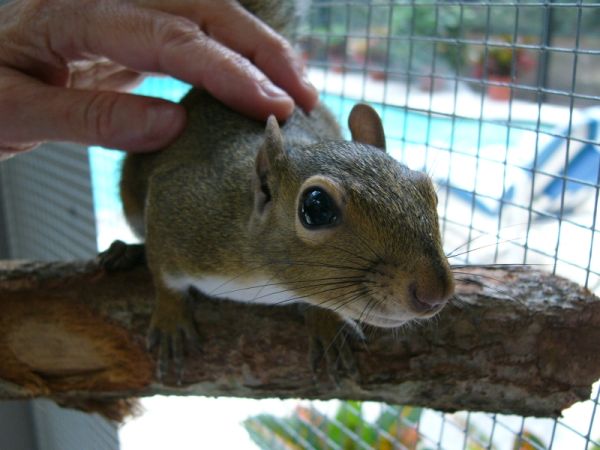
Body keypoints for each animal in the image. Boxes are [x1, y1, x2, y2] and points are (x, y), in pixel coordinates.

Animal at [115, 0, 454, 380]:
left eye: (428, 191)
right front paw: (171, 316)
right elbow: (164, 273)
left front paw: (325, 321)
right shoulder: (180, 204)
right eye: (316, 207)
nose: (435, 291)